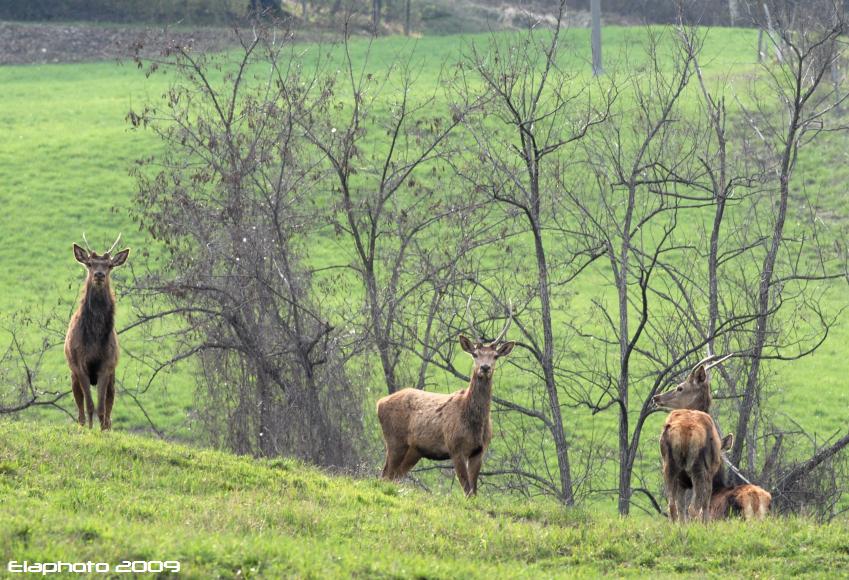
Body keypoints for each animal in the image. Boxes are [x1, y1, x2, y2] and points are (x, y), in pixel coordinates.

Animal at [64, 236, 129, 430]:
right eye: (90, 264)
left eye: (109, 265)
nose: (99, 274)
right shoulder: (79, 365)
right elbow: (89, 405)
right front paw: (90, 430)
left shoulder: (106, 365)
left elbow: (101, 406)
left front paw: (100, 431)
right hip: (73, 375)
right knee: (79, 406)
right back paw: (82, 425)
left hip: (113, 377)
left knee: (109, 407)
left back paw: (107, 427)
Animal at [376, 302, 510, 496]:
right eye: (475, 354)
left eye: (495, 356)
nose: (485, 368)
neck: (474, 423)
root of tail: (379, 403)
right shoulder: (455, 447)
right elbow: (467, 490)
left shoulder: (479, 450)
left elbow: (474, 492)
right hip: (394, 440)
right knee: (385, 475)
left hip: (414, 450)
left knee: (394, 476)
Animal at [652, 356, 732, 524]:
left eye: (680, 388)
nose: (656, 397)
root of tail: (682, 432)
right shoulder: (710, 473)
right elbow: (704, 508)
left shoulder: (682, 481)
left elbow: (681, 508)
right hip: (699, 468)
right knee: (694, 508)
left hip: (669, 466)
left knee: (672, 506)